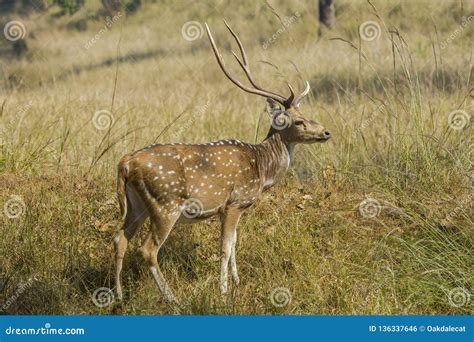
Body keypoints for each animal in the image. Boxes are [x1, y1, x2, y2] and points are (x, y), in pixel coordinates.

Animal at [113, 21, 332, 304]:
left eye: (306, 114)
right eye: (298, 121)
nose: (326, 132)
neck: (261, 169)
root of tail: (126, 162)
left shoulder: (231, 208)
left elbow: (235, 243)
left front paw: (237, 281)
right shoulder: (235, 202)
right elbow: (226, 247)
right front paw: (224, 291)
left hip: (136, 205)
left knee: (119, 238)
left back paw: (118, 295)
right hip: (165, 203)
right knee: (147, 249)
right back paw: (173, 299)